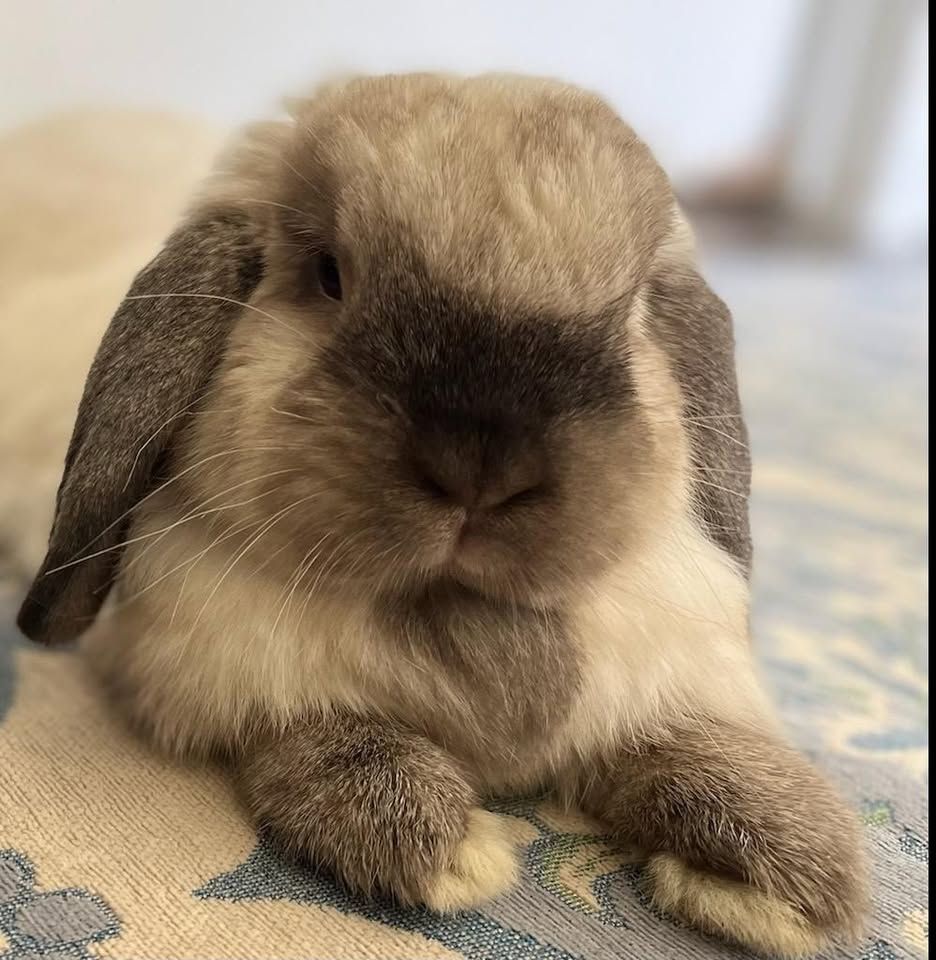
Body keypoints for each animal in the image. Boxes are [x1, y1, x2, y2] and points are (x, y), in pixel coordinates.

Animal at [17, 73, 868, 957]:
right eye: (329, 275)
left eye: (633, 315)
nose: (482, 469)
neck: (463, 612)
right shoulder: (228, 683)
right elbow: (334, 743)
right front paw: (448, 851)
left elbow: (694, 746)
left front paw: (790, 870)